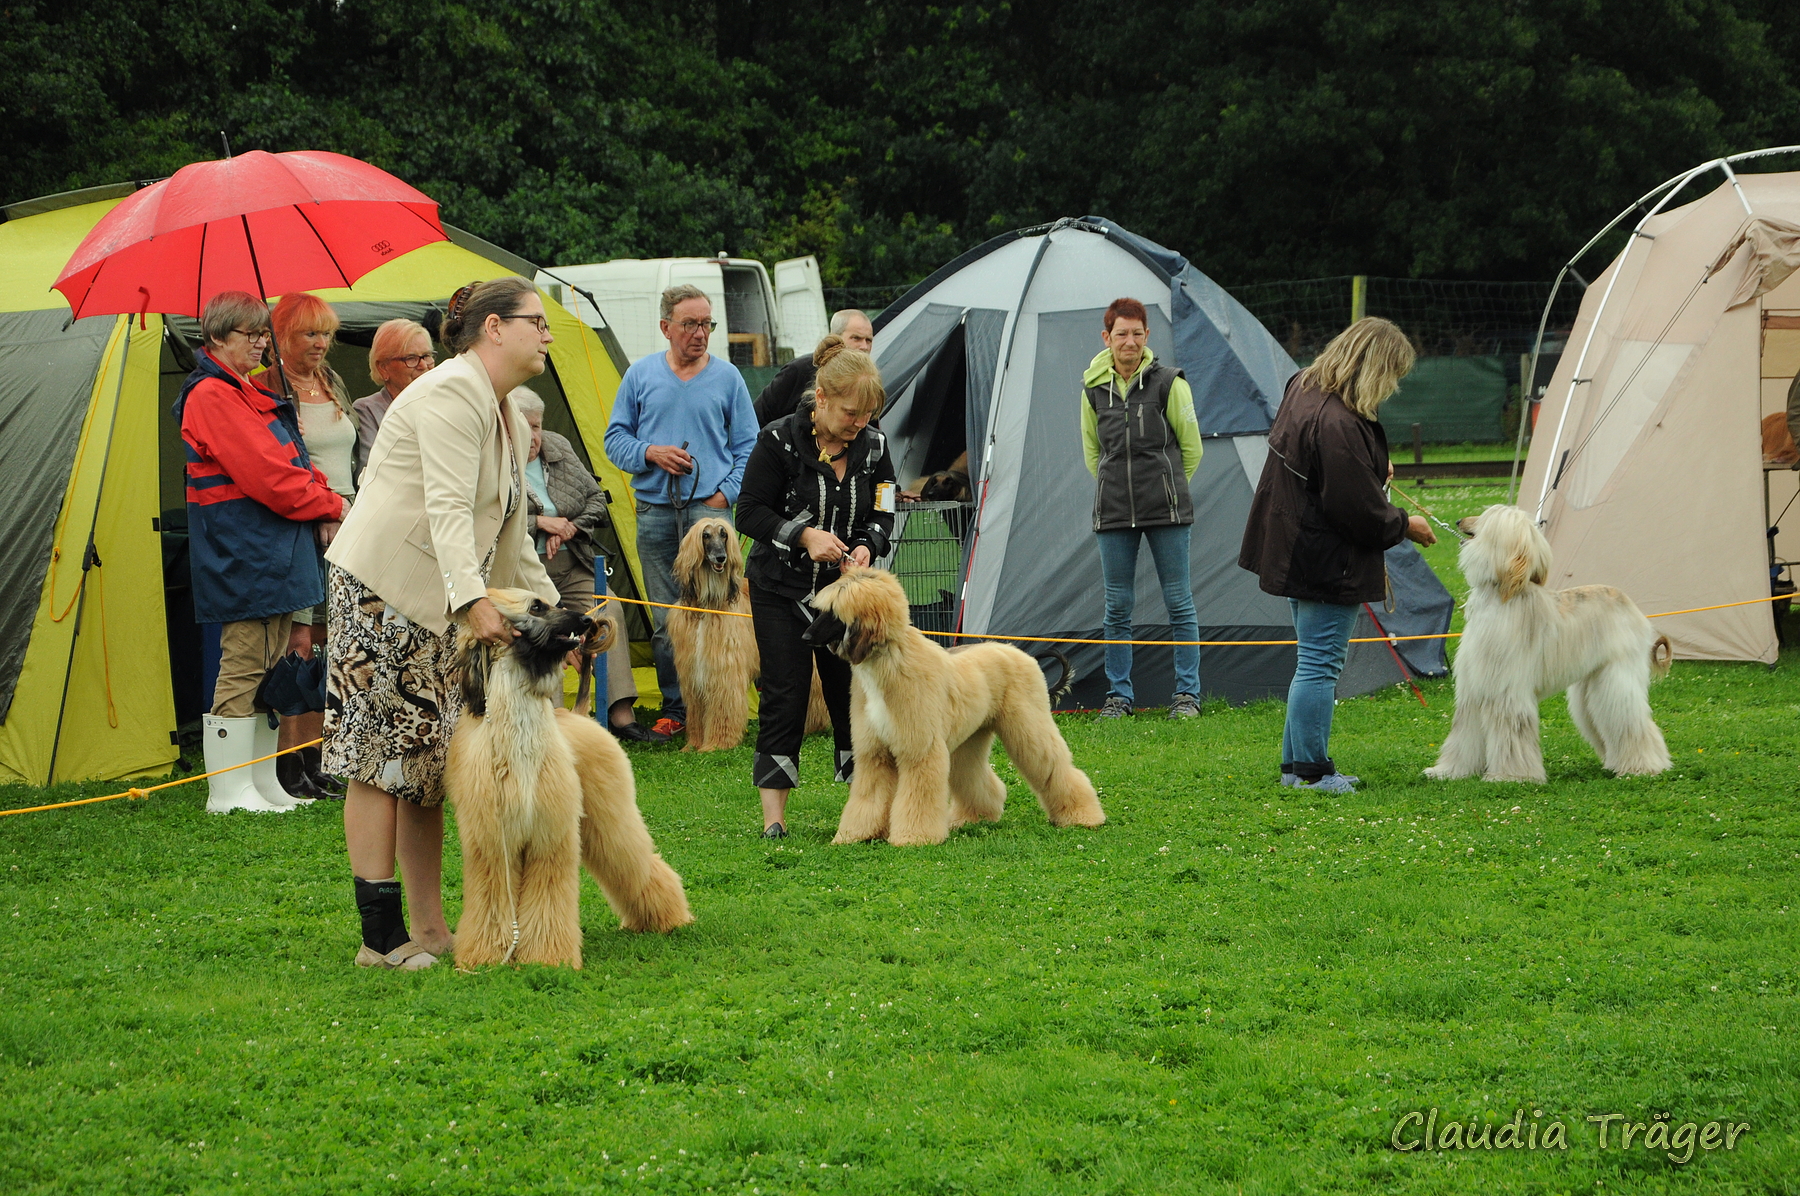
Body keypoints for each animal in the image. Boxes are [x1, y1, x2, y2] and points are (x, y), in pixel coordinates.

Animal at [450, 590, 694, 972]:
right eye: (536, 606)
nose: (585, 620)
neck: (516, 746)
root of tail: (581, 715)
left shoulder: (548, 836)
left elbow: (548, 899)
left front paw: (547, 957)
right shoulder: (491, 843)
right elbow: (491, 900)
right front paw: (485, 955)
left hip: (609, 814)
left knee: (636, 860)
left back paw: (668, 918)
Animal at [669, 518, 828, 752]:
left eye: (724, 534)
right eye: (705, 535)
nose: (721, 557)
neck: (710, 602)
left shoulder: (723, 667)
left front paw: (717, 743)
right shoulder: (694, 669)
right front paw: (693, 744)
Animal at [810, 565, 1101, 846]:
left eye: (833, 613)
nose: (806, 634)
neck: (888, 662)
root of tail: (1024, 655)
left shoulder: (920, 749)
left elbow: (918, 796)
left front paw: (915, 837)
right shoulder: (874, 751)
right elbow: (868, 795)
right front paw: (855, 835)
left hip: (1028, 723)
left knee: (1053, 765)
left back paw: (1082, 814)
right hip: (969, 738)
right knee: (974, 776)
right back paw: (976, 816)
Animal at [1432, 504, 1670, 785]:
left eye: (1485, 517)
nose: (1458, 521)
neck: (1500, 598)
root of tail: (1632, 606)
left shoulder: (1507, 689)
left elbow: (1513, 731)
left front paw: (1512, 775)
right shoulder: (1475, 687)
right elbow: (1464, 731)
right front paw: (1451, 771)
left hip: (1616, 675)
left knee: (1631, 718)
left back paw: (1644, 765)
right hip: (1589, 685)